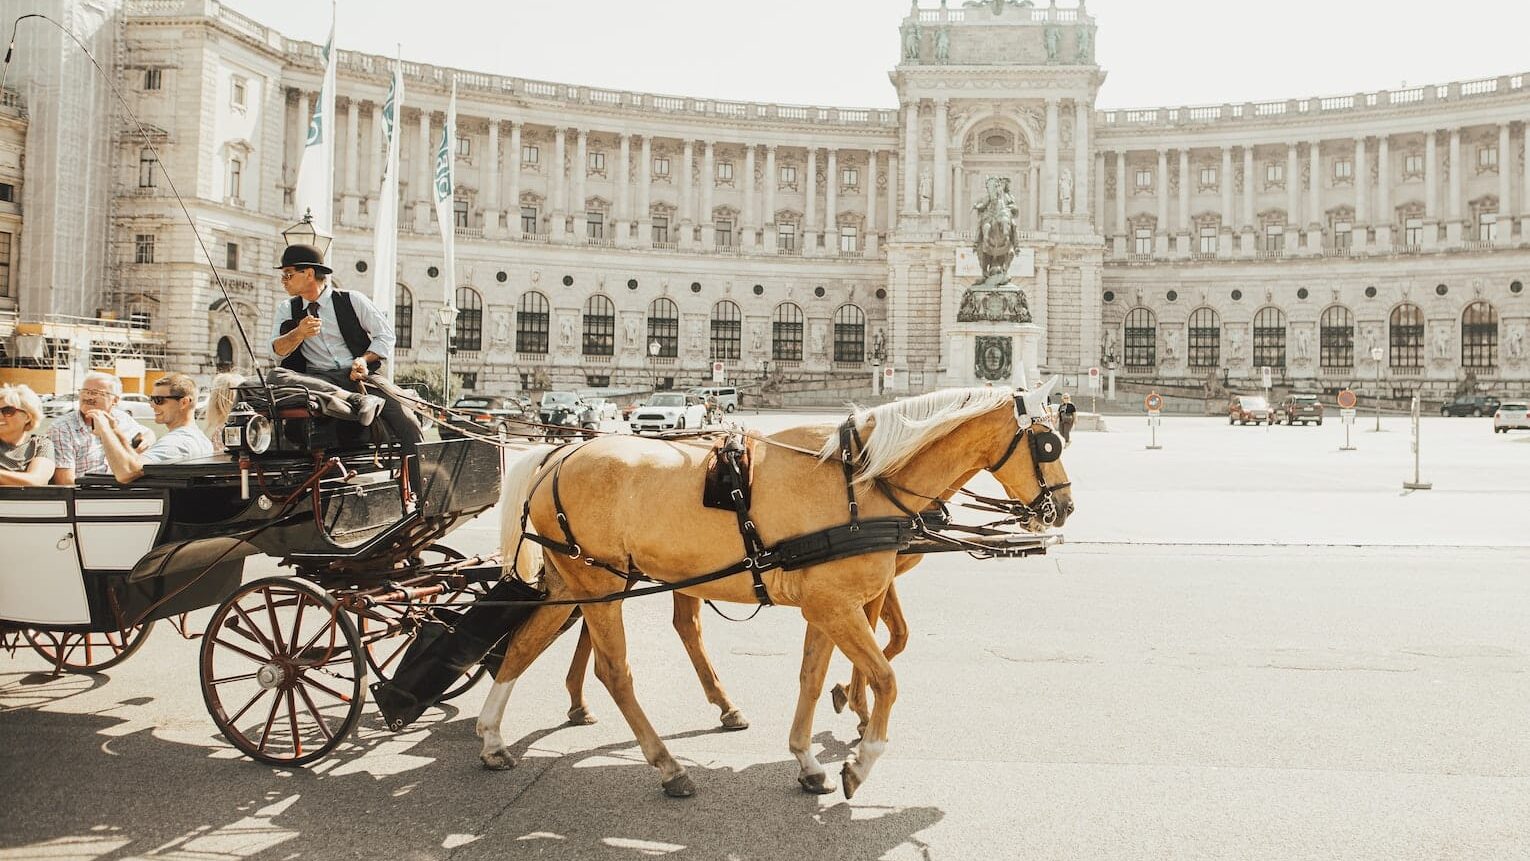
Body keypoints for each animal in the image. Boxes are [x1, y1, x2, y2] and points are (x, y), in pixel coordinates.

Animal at [471, 386, 1071, 801]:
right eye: (1048, 444)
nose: (1063, 508)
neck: (860, 483)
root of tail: (558, 453)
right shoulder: (839, 605)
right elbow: (886, 676)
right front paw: (861, 757)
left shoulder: (827, 606)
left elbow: (813, 678)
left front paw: (809, 759)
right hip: (601, 583)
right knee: (615, 670)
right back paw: (668, 766)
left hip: (578, 582)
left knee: (525, 644)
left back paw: (493, 739)